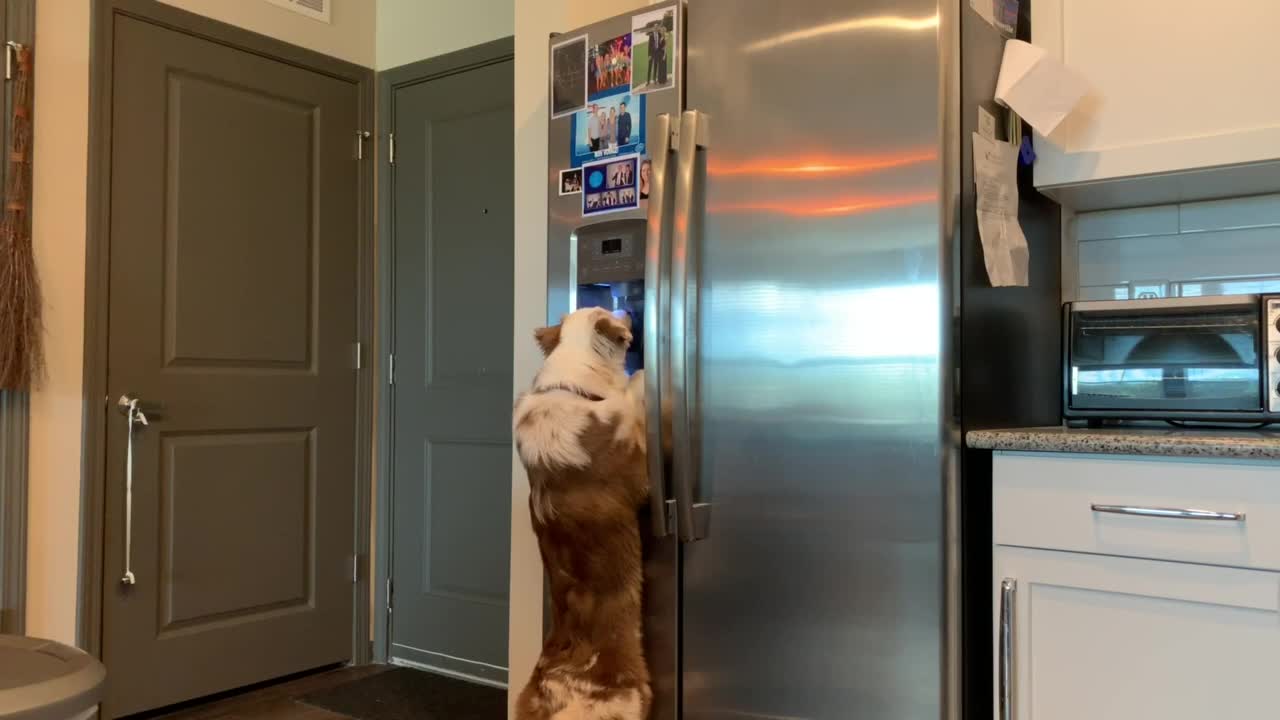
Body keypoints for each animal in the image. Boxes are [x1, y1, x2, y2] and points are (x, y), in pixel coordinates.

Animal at [509, 307, 650, 717]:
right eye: (611, 312)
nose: (627, 309)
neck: (569, 385)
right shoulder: (638, 473)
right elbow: (632, 389)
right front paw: (640, 375)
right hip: (632, 701)